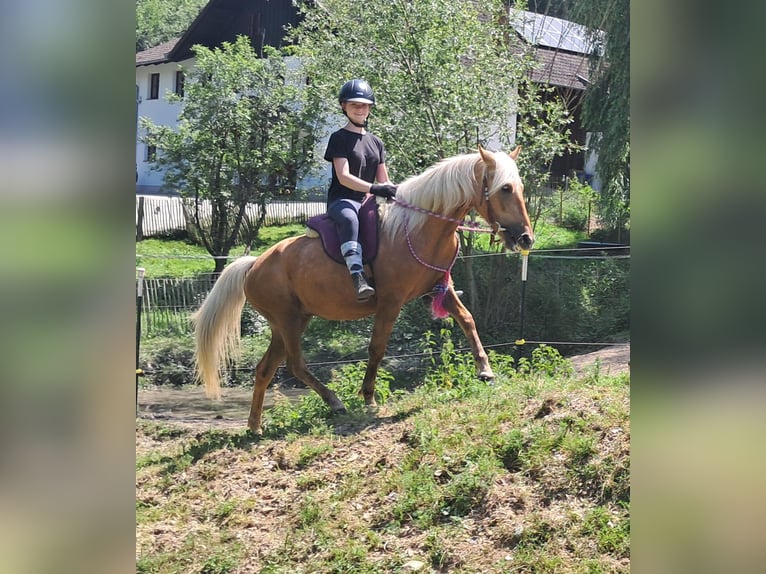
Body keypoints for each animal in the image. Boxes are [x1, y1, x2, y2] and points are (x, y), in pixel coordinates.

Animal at [192, 145, 534, 434]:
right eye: (505, 189)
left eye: (519, 188)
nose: (525, 238)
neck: (420, 227)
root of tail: (254, 265)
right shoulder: (391, 302)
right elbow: (377, 347)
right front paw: (368, 396)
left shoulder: (441, 288)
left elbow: (468, 320)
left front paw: (485, 369)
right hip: (287, 321)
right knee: (295, 364)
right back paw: (333, 401)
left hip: (290, 322)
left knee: (265, 369)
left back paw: (255, 426)